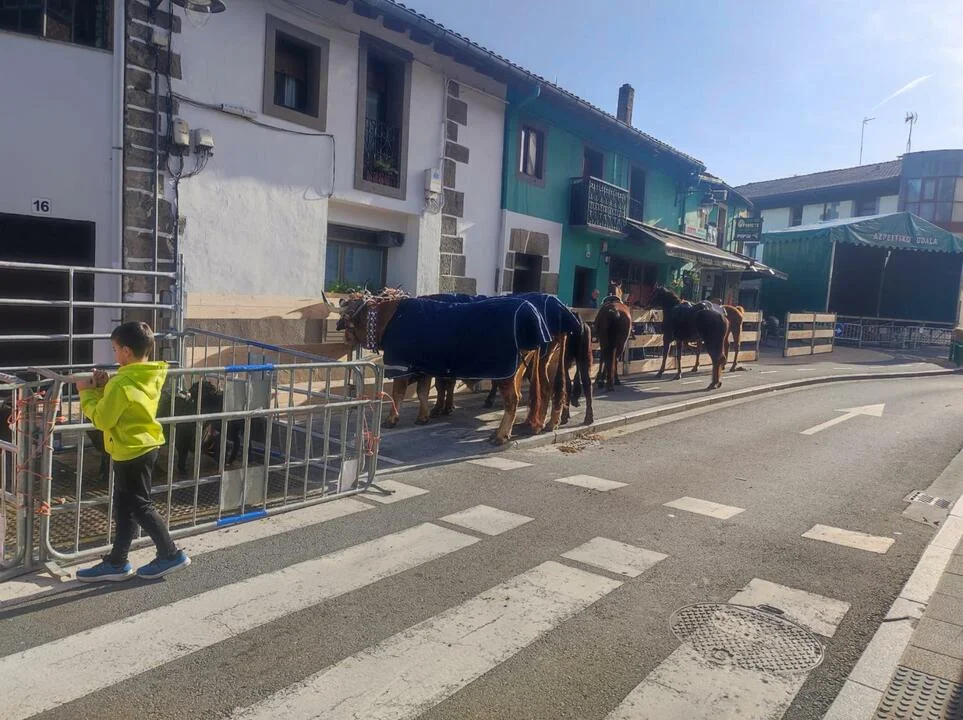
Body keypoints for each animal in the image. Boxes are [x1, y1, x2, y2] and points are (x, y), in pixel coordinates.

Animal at [337, 291, 550, 445]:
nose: (345, 337)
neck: (389, 317)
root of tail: (531, 314)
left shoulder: (401, 367)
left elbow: (398, 394)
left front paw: (391, 419)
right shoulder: (423, 367)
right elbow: (423, 392)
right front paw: (423, 416)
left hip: (506, 374)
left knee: (512, 400)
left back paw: (500, 435)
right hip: (516, 372)